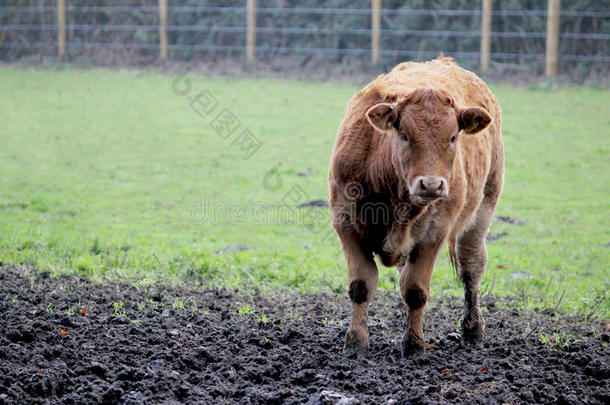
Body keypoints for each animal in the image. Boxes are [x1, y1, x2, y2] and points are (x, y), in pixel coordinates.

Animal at [330, 56, 502, 354]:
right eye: (405, 135)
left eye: (453, 137)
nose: (431, 185)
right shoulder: (345, 222)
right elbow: (361, 285)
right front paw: (356, 341)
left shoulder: (435, 232)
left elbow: (415, 290)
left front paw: (414, 344)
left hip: (484, 206)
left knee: (471, 266)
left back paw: (473, 329)